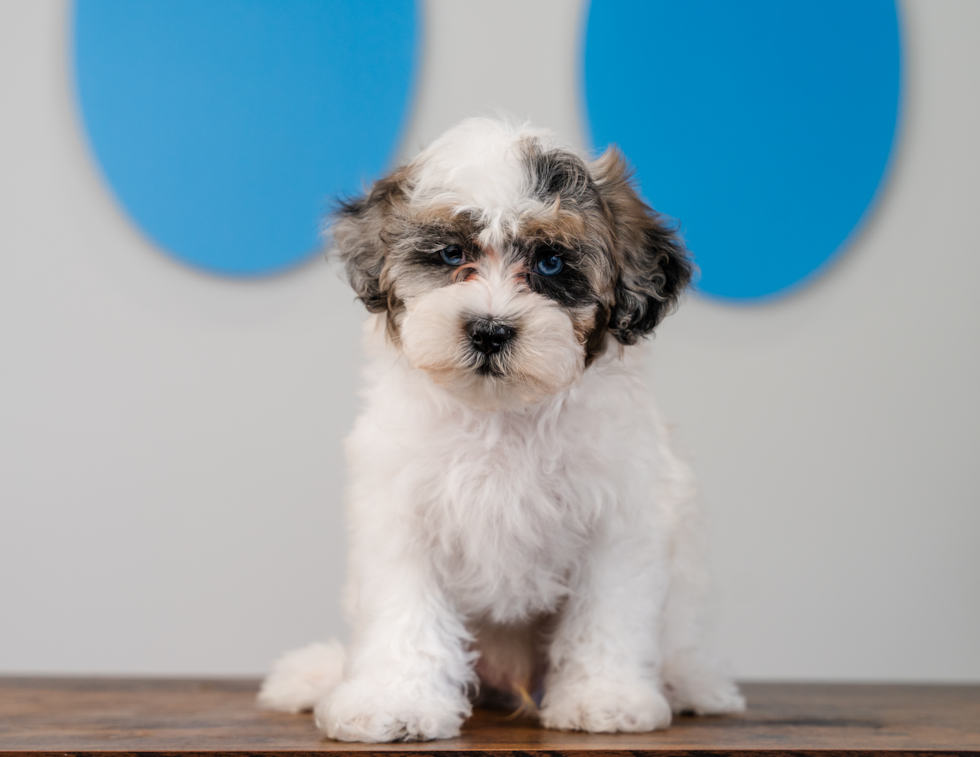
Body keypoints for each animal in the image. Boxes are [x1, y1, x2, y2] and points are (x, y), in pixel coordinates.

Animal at [258, 116, 744, 740]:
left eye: (551, 263)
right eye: (450, 254)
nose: (489, 330)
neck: (502, 415)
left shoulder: (621, 514)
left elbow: (610, 608)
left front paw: (605, 697)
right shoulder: (402, 509)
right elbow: (402, 609)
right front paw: (395, 700)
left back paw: (694, 683)